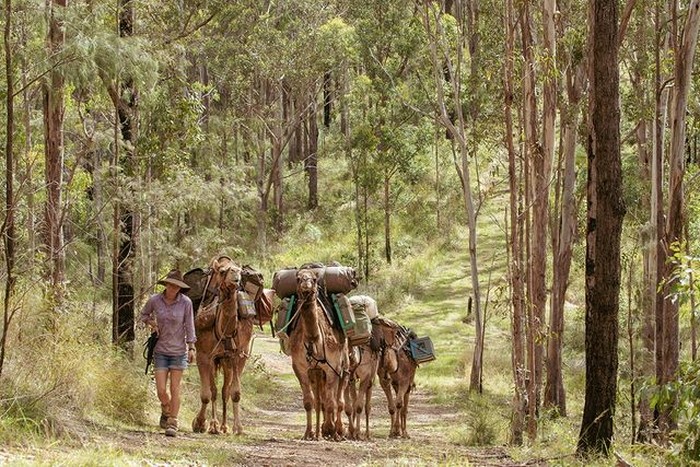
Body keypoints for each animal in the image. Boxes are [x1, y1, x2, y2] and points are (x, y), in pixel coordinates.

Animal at [191, 256, 254, 436]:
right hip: (215, 359)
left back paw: (224, 426)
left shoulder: (239, 355)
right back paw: (214, 425)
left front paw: (238, 428)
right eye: (222, 271)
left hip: (226, 360)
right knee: (214, 390)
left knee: (224, 390)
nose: (235, 276)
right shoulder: (203, 355)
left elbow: (235, 392)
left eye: (240, 271)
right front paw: (200, 423)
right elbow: (207, 393)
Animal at [286, 268, 348, 440]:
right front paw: (309, 433)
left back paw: (339, 430)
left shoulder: (332, 367)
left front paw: (332, 430)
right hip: (316, 373)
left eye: (314, 279)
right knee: (319, 400)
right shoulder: (301, 368)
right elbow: (309, 402)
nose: (306, 285)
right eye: (298, 278)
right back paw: (320, 432)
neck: (314, 340)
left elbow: (331, 402)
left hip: (343, 366)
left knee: (338, 399)